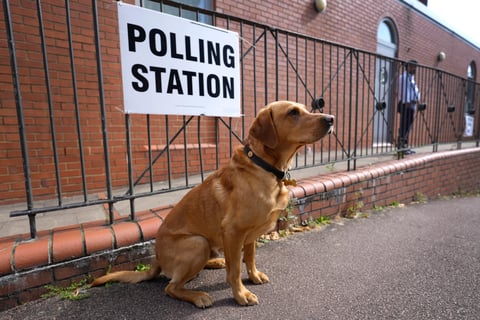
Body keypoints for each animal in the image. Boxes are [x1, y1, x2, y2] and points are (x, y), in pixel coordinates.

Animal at [92, 100, 336, 308]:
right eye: (293, 112)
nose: (331, 118)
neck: (265, 167)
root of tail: (156, 259)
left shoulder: (249, 235)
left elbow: (249, 258)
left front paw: (253, 276)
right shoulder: (234, 231)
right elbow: (235, 270)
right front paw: (241, 294)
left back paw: (216, 262)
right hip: (197, 243)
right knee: (171, 287)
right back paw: (199, 296)